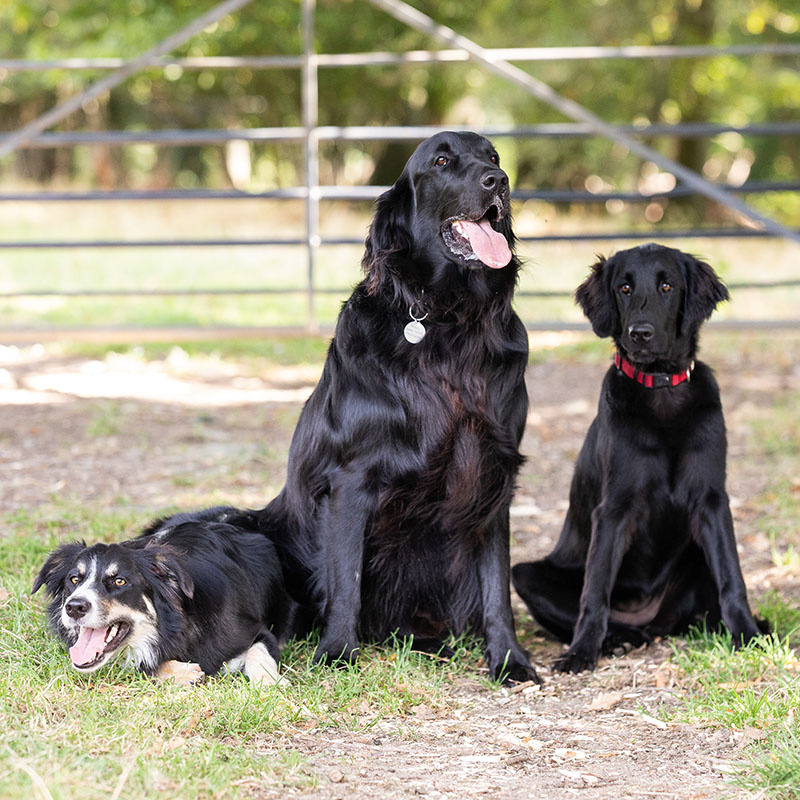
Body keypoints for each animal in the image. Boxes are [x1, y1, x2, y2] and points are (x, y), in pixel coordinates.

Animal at [34, 506, 292, 688]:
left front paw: (270, 681)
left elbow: (258, 653)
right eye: (74, 579)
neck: (177, 625)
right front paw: (181, 671)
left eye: (119, 581)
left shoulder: (258, 631)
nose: (74, 607)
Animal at [260, 131, 540, 680]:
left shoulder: (494, 475)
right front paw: (337, 653)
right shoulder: (351, 479)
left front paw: (509, 659)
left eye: (493, 156)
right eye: (442, 160)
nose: (499, 180)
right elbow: (346, 579)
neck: (451, 320)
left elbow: (497, 585)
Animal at [512, 245, 764, 676]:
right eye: (624, 288)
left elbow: (733, 578)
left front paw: (747, 634)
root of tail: (649, 619)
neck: (661, 390)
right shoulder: (614, 509)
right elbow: (594, 591)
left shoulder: (712, 502)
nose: (640, 333)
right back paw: (619, 639)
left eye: (667, 286)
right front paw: (581, 652)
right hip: (525, 574)